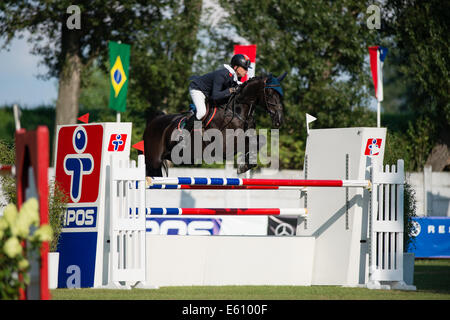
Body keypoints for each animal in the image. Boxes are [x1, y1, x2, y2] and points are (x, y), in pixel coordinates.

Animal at [142, 72, 286, 178]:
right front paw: (243, 166)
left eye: (280, 95)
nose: (279, 120)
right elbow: (247, 143)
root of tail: (153, 121)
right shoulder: (223, 147)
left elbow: (259, 140)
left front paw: (246, 165)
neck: (237, 111)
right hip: (154, 160)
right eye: (270, 93)